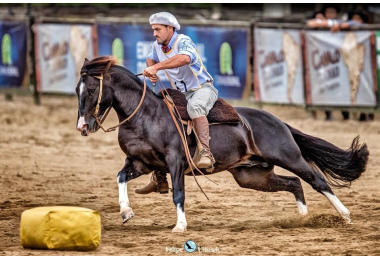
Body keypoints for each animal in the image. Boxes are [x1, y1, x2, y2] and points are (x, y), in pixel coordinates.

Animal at [75, 56, 370, 232]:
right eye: (77, 89)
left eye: (90, 89)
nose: (82, 127)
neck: (146, 115)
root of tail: (279, 121)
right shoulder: (140, 162)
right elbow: (120, 176)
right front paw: (126, 211)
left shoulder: (175, 161)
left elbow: (178, 194)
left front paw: (180, 226)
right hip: (251, 175)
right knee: (294, 183)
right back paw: (303, 218)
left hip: (289, 157)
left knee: (316, 180)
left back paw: (344, 215)